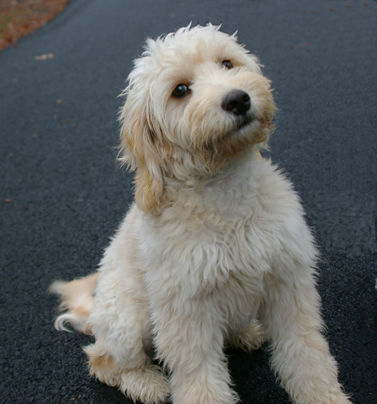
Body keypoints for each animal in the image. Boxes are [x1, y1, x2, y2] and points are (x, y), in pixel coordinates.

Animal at [49, 25, 350, 404]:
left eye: (227, 63)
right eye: (180, 90)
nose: (238, 100)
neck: (227, 195)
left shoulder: (288, 283)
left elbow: (306, 352)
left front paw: (325, 395)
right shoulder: (186, 312)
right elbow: (199, 378)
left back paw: (244, 333)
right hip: (126, 321)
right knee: (104, 361)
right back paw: (146, 383)